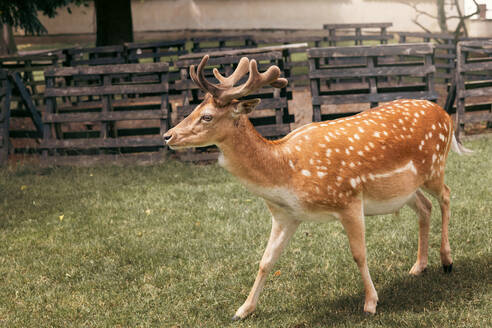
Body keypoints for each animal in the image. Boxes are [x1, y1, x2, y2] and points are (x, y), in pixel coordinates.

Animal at [163, 55, 470, 320]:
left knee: (446, 195)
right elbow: (265, 260)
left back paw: (446, 260)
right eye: (194, 109)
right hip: (403, 189)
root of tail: (445, 114)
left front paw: (371, 302)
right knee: (425, 206)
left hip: (434, 167)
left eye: (207, 116)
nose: (168, 135)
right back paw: (418, 266)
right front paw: (243, 310)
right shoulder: (285, 215)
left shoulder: (348, 199)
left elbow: (359, 254)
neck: (285, 172)